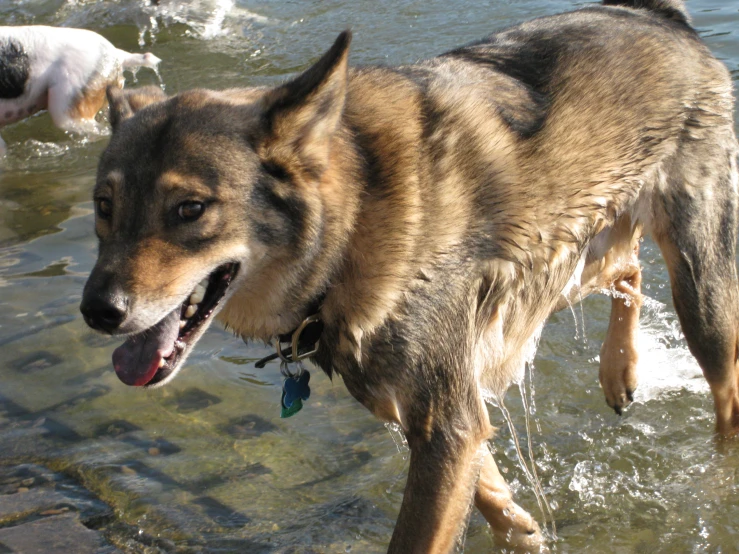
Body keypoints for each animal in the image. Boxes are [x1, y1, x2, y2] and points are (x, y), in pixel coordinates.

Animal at [81, 1, 739, 548]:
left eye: (190, 209)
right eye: (103, 207)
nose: (96, 312)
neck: (352, 224)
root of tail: (656, 13)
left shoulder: (445, 422)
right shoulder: (436, 413)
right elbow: (493, 496)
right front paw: (524, 532)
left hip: (698, 294)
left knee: (725, 389)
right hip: (557, 265)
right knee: (627, 269)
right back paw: (619, 370)